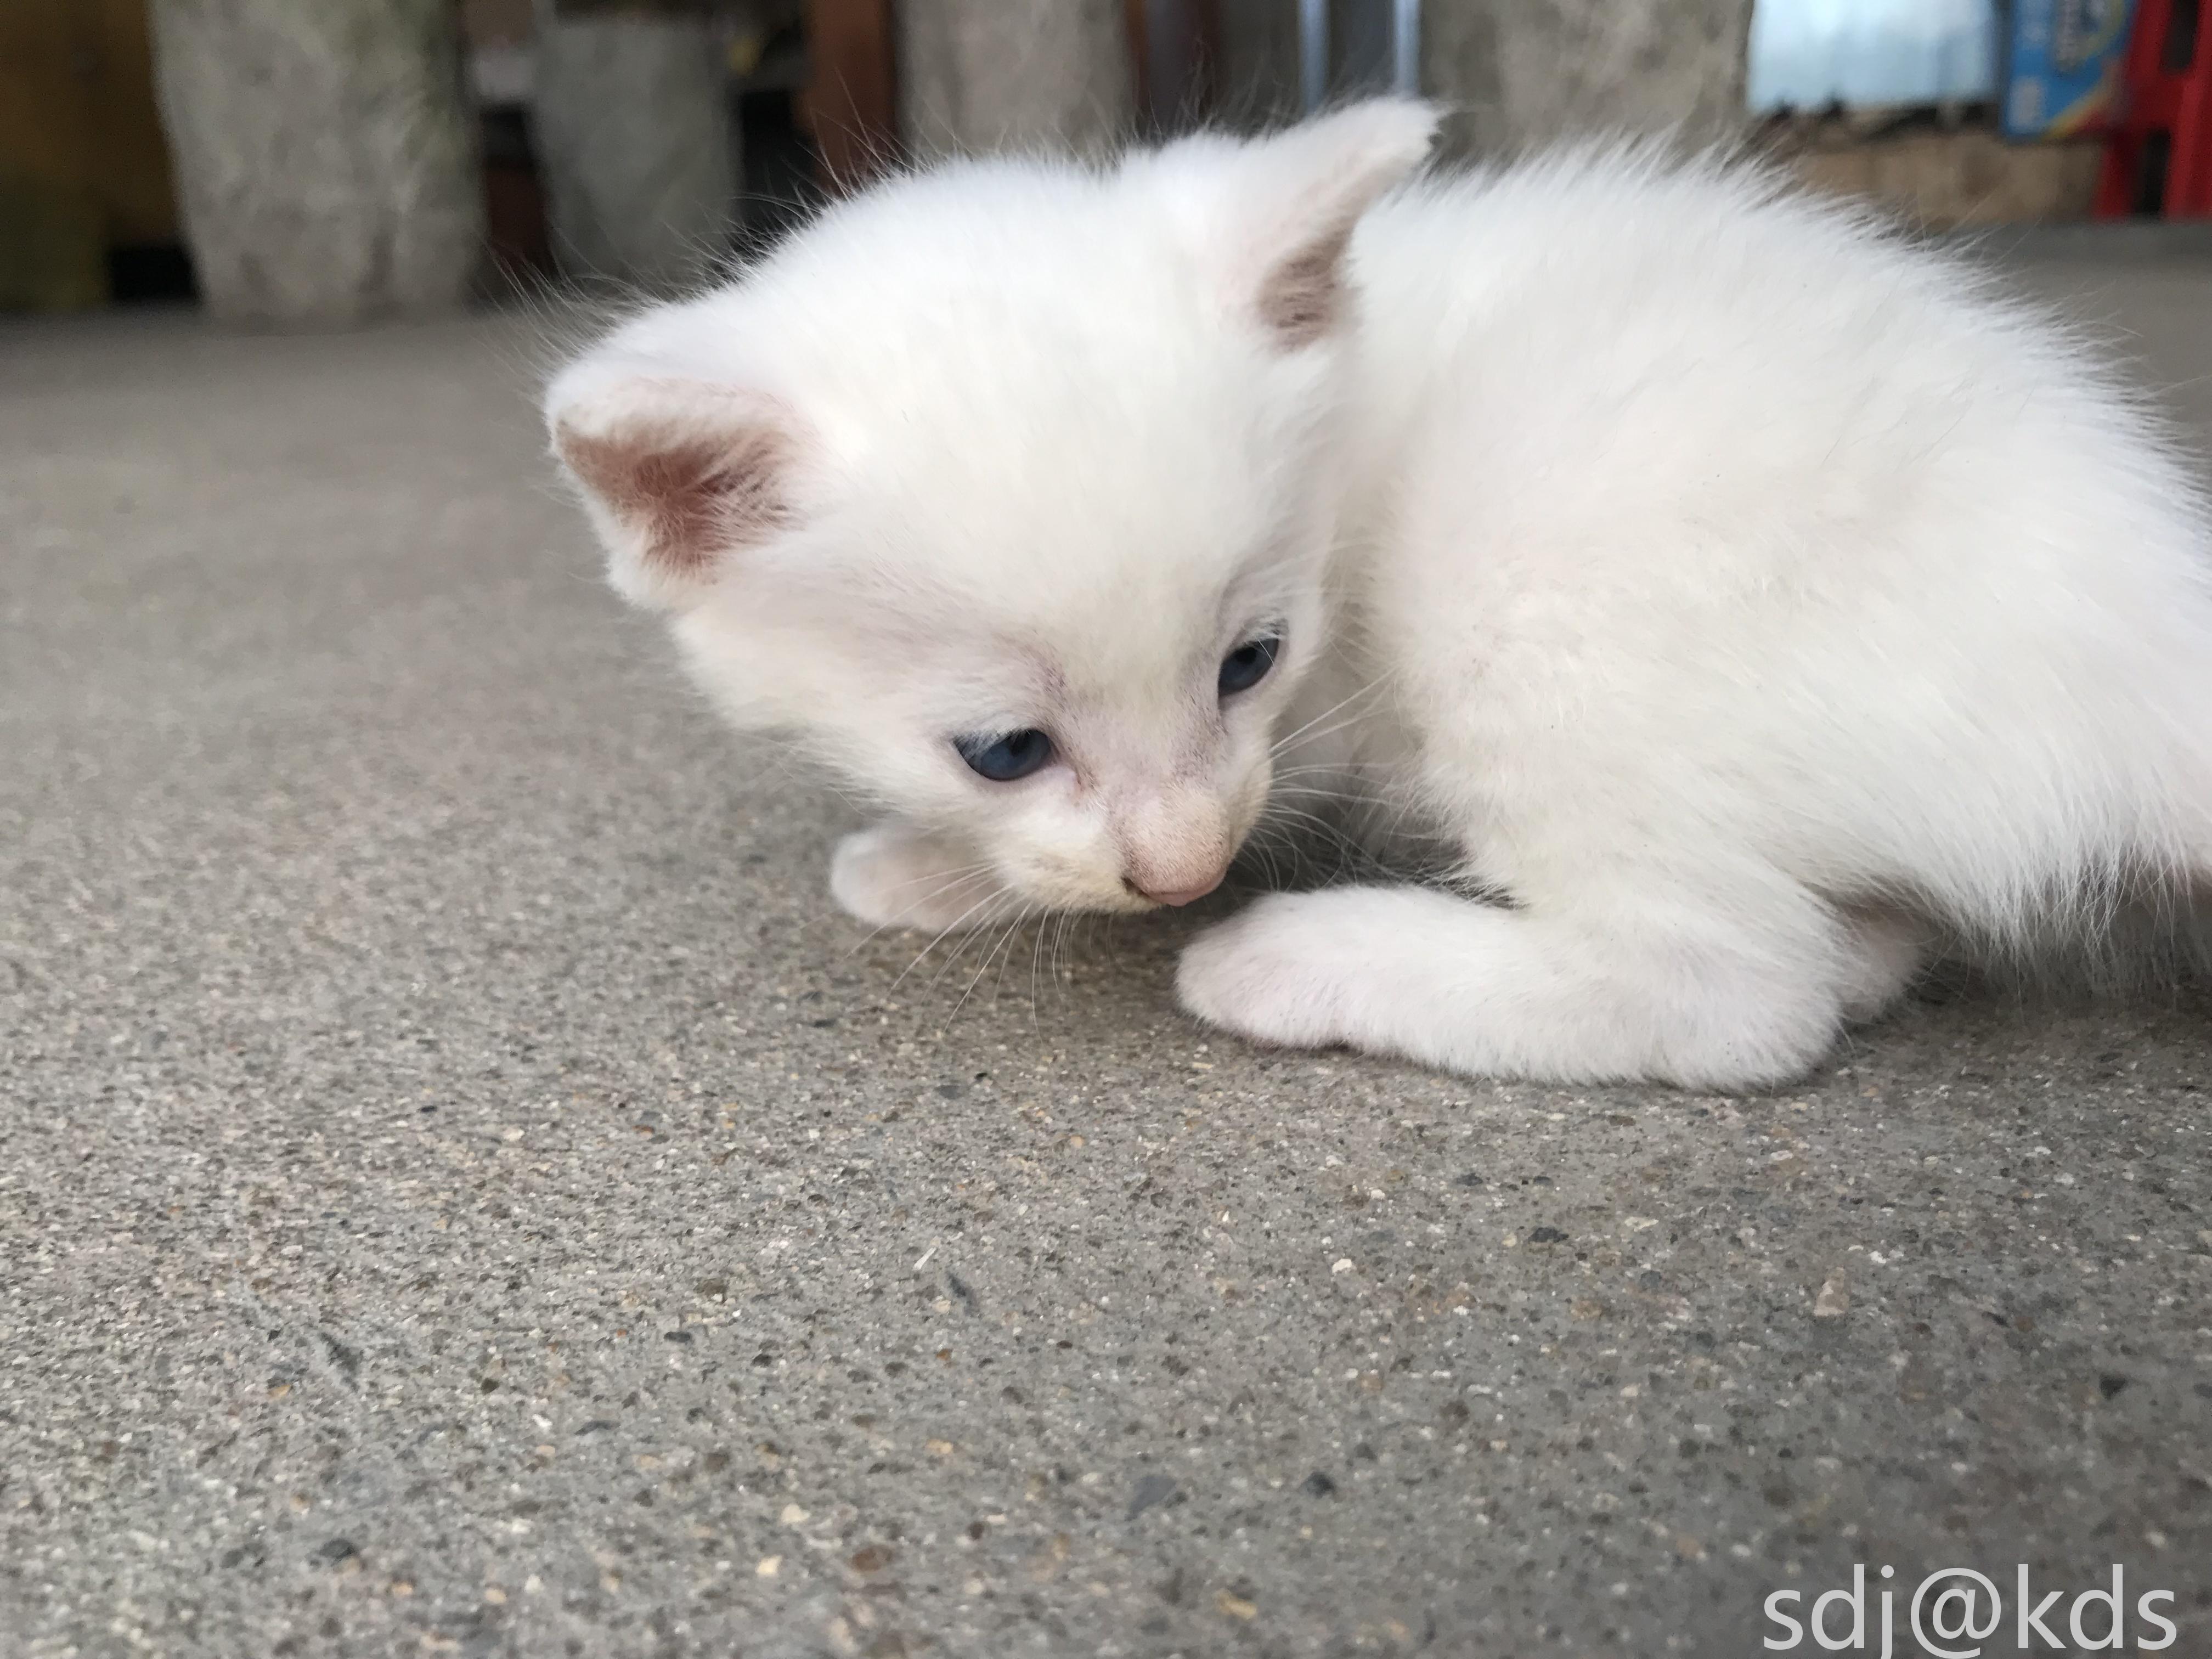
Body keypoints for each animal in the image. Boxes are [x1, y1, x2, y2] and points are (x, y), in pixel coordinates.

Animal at [548, 100, 2212, 1092]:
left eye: (1253, 659)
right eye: (1004, 750)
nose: (1183, 879)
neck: (1349, 423)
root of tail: (2142, 614)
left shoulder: (1323, 712)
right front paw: (942, 860)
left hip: (1527, 579)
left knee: (1733, 988)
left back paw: (1313, 958)